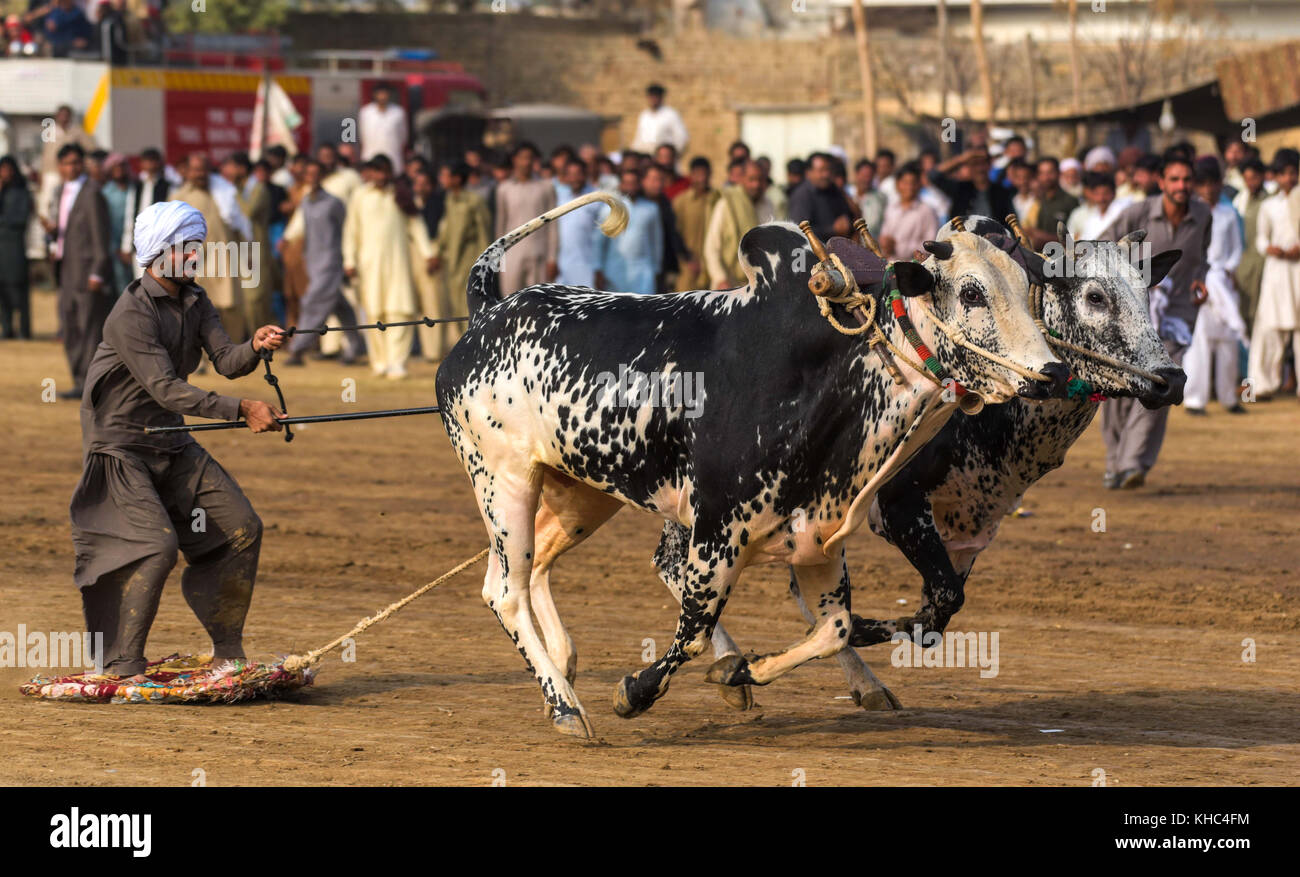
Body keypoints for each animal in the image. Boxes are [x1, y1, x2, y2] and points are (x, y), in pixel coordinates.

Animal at [436, 196, 1066, 737]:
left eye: (1028, 288)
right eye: (972, 292)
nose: (1054, 371)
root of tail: (488, 313)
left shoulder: (820, 536)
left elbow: (836, 627)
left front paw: (744, 670)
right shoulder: (717, 533)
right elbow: (694, 631)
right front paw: (636, 691)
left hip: (581, 492)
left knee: (536, 564)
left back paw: (564, 666)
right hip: (502, 482)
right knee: (504, 589)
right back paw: (566, 707)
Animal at [650, 214, 1190, 711]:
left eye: (1146, 291)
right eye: (1095, 296)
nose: (1172, 378)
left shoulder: (972, 529)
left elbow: (935, 615)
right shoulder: (900, 507)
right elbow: (934, 604)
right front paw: (855, 631)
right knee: (677, 566)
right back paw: (735, 666)